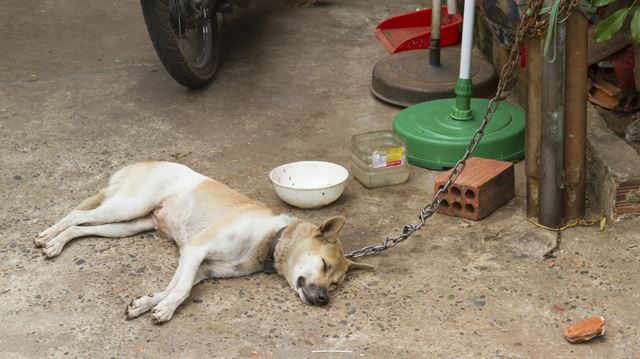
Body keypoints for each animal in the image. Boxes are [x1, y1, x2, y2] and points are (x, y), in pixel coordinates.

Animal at [35, 162, 372, 324]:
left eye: (335, 285)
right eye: (324, 264)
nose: (324, 300)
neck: (269, 239)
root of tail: (145, 161)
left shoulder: (198, 266)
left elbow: (173, 287)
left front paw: (149, 303)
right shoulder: (195, 250)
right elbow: (182, 289)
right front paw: (166, 309)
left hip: (128, 225)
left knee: (82, 228)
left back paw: (58, 241)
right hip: (128, 206)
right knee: (78, 214)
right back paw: (49, 237)